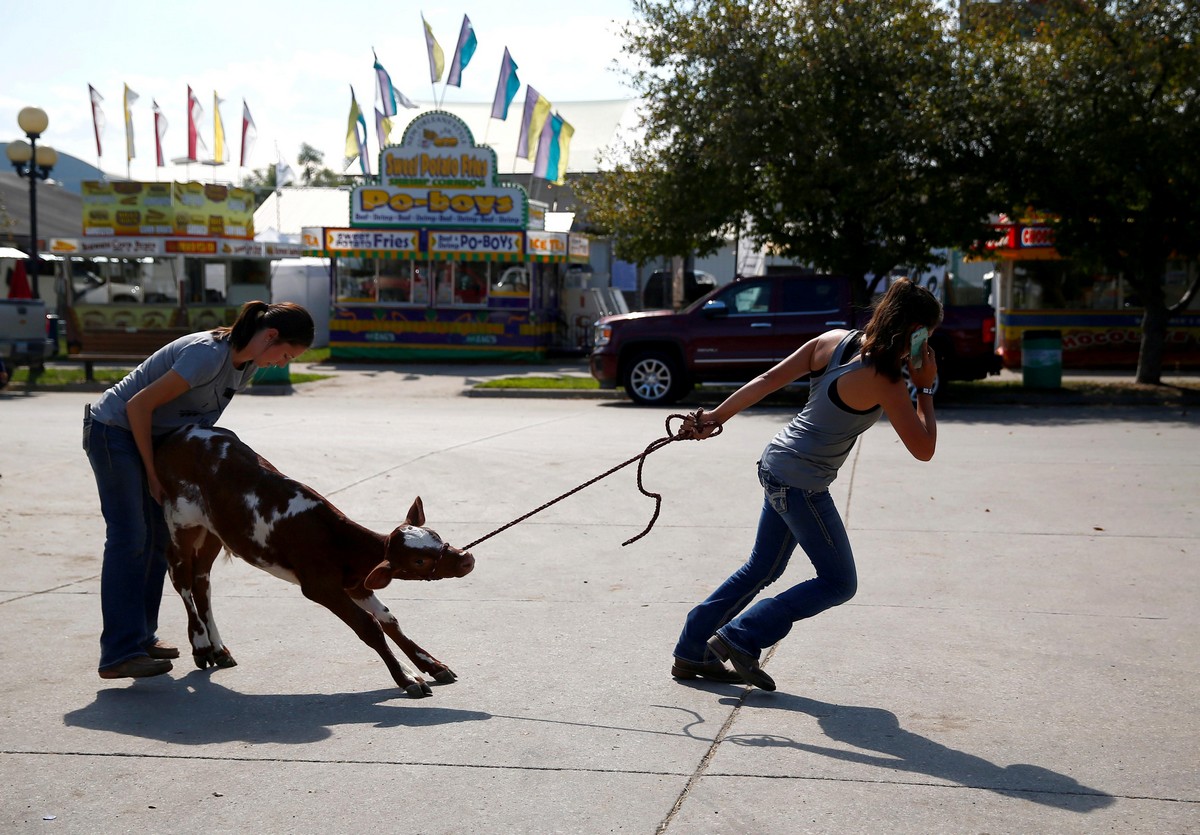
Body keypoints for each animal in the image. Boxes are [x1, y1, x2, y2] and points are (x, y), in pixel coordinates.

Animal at [157, 424, 475, 695]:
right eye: (418, 561)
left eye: (435, 535)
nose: (466, 558)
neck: (336, 542)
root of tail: (180, 433)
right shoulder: (320, 587)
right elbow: (369, 626)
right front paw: (406, 678)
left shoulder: (356, 584)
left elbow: (389, 620)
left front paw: (431, 665)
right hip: (181, 524)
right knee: (181, 578)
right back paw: (201, 645)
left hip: (213, 531)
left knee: (202, 582)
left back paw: (219, 650)